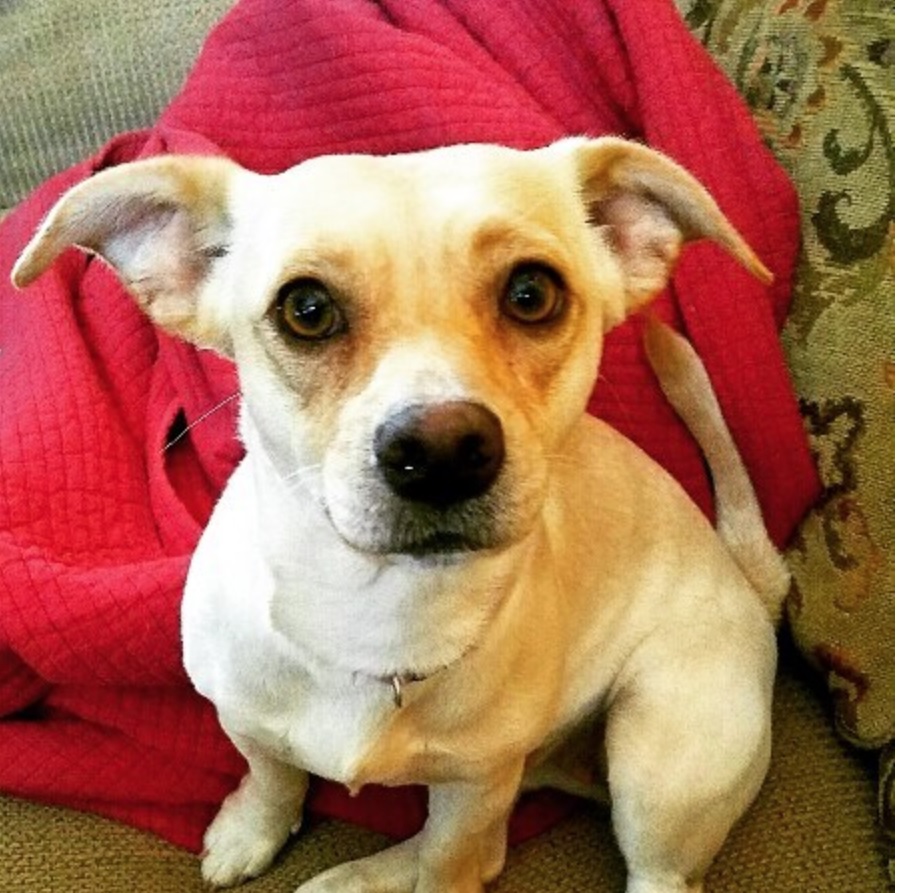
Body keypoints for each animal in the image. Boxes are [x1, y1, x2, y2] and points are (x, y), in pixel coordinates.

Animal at [12, 134, 784, 892]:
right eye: (306, 309)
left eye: (532, 293)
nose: (442, 450)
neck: (375, 613)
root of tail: (752, 584)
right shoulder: (242, 717)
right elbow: (272, 774)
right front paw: (250, 830)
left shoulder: (474, 786)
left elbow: (449, 861)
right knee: (491, 844)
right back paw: (349, 878)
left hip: (654, 768)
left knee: (600, 864)